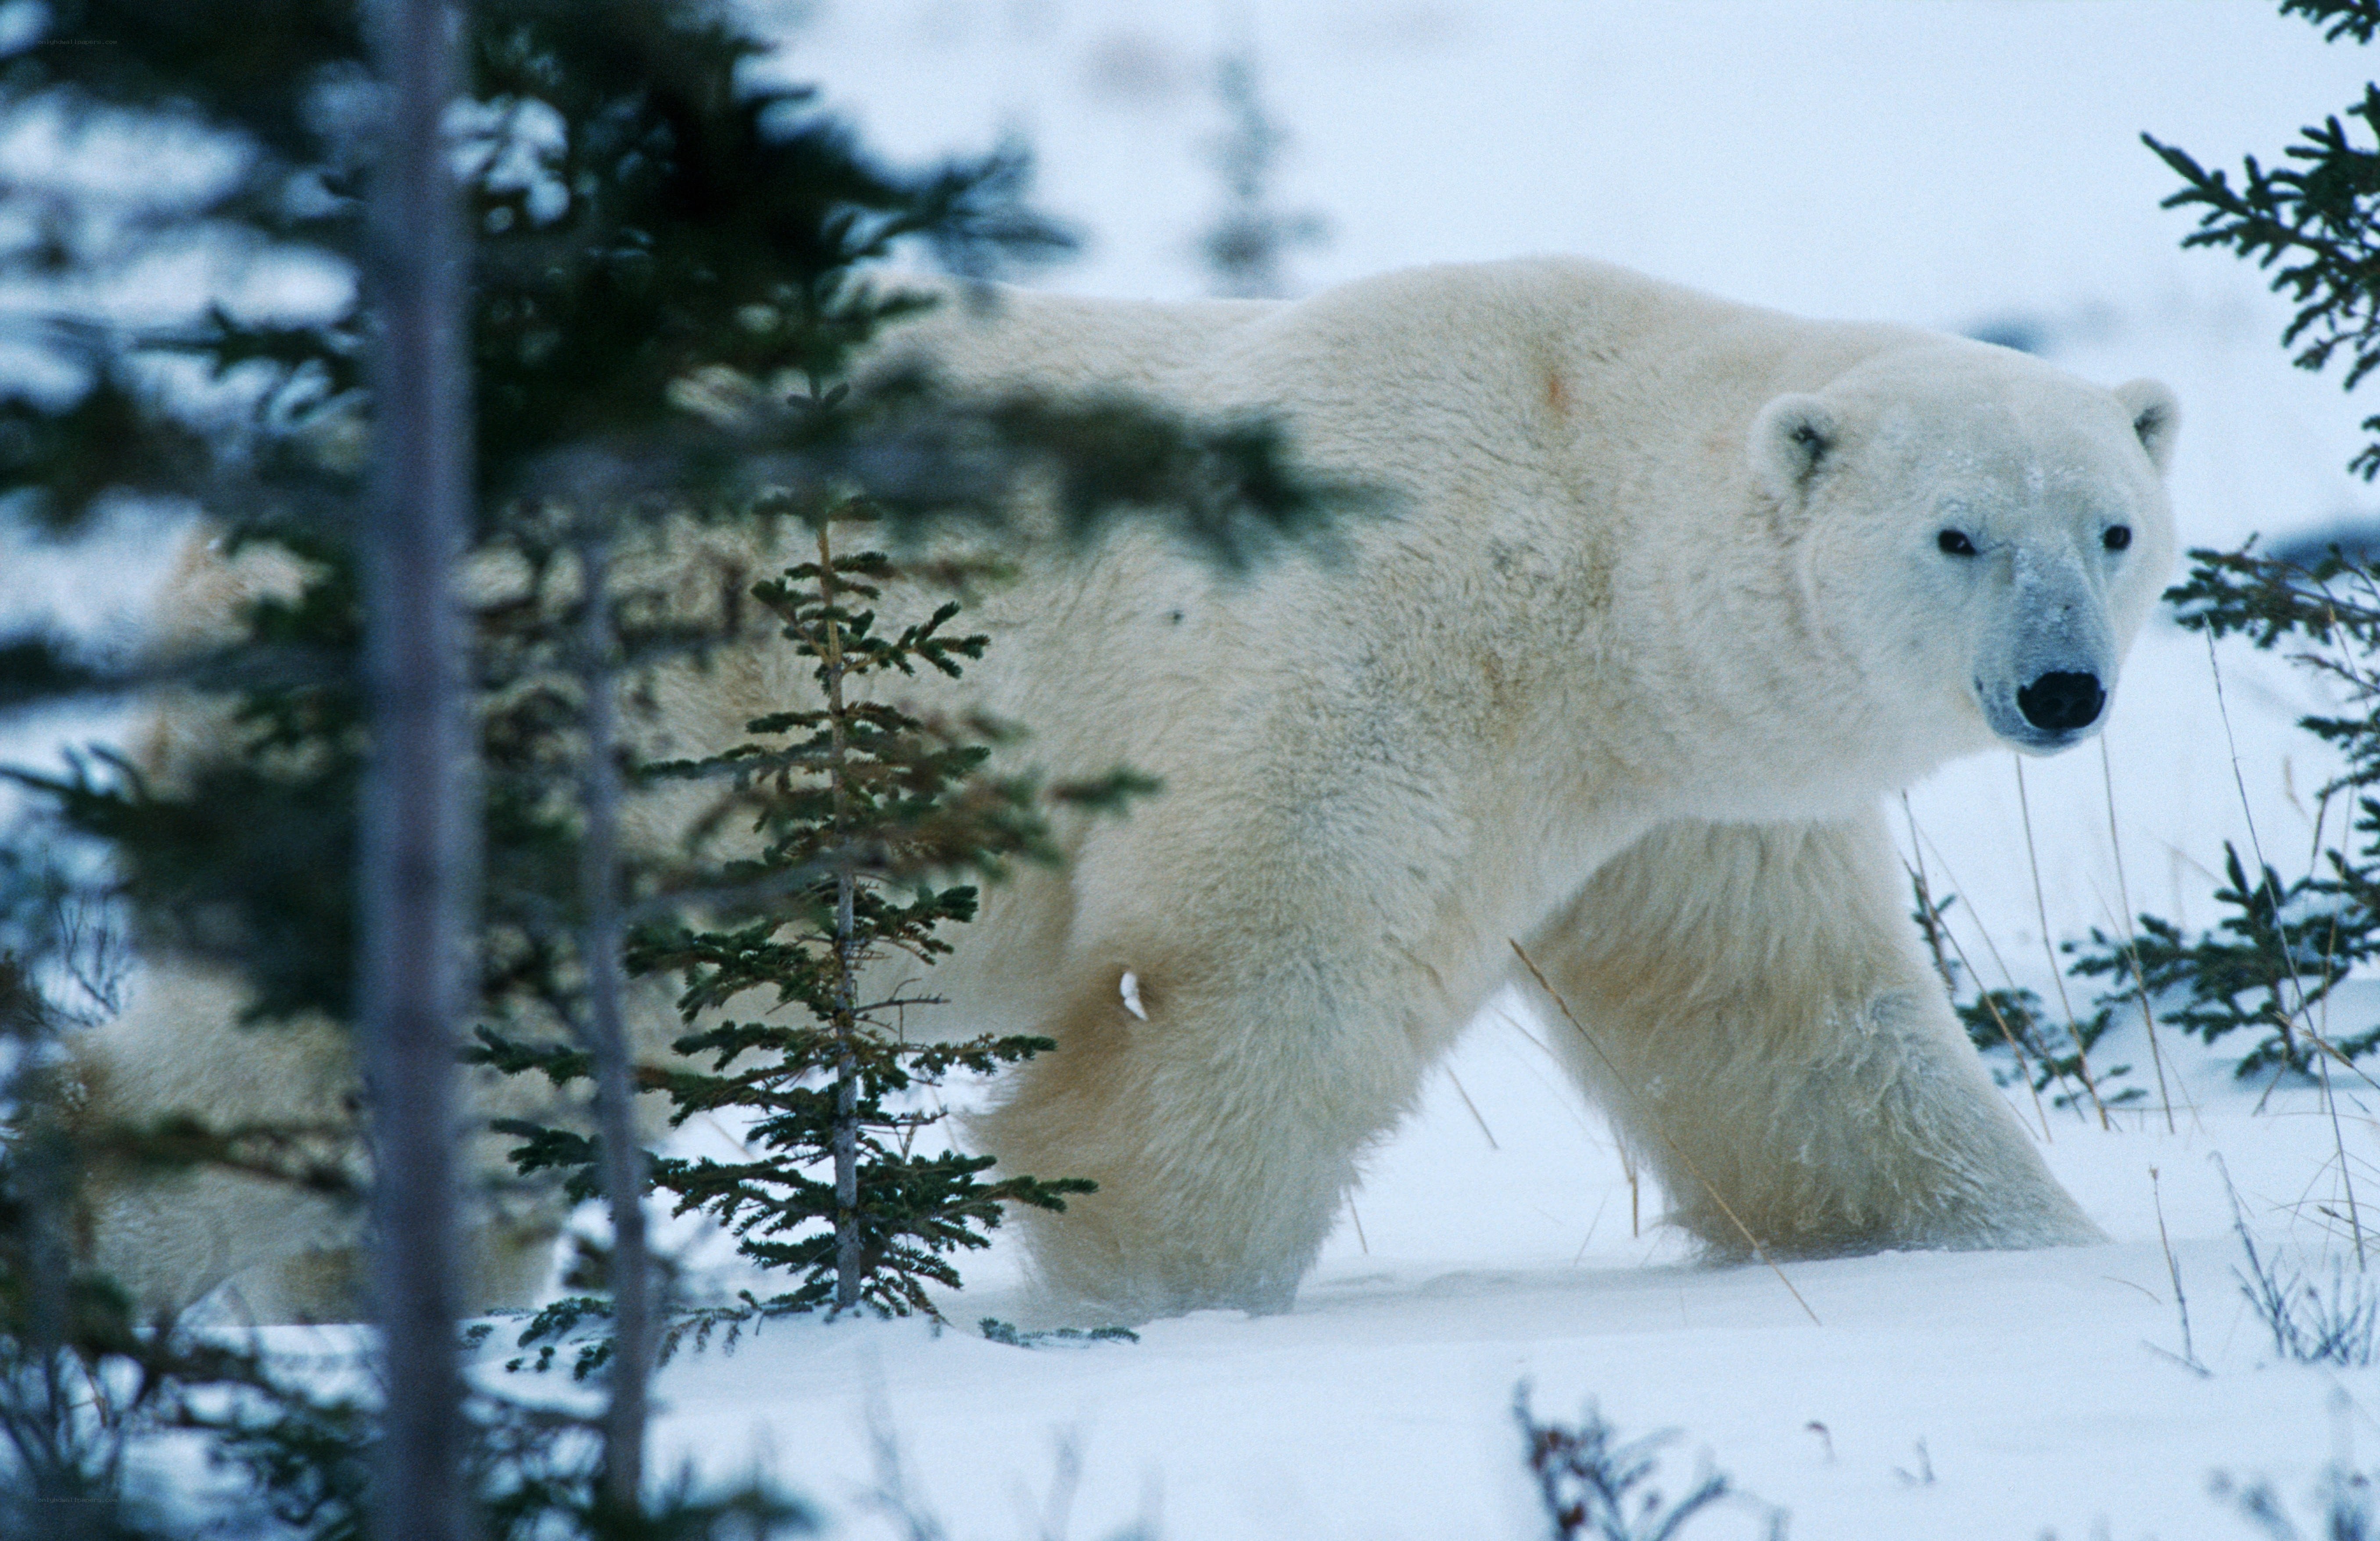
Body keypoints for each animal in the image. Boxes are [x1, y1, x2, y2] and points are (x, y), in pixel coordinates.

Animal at [64, 255, 2172, 1324]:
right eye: (1959, 533)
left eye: (2115, 526)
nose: (2061, 688)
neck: (1575, 509)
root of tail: (222, 549)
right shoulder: (1377, 654)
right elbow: (1243, 993)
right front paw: (1126, 1307)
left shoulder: (1684, 796)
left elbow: (1792, 1030)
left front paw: (2014, 1257)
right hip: (584, 732)